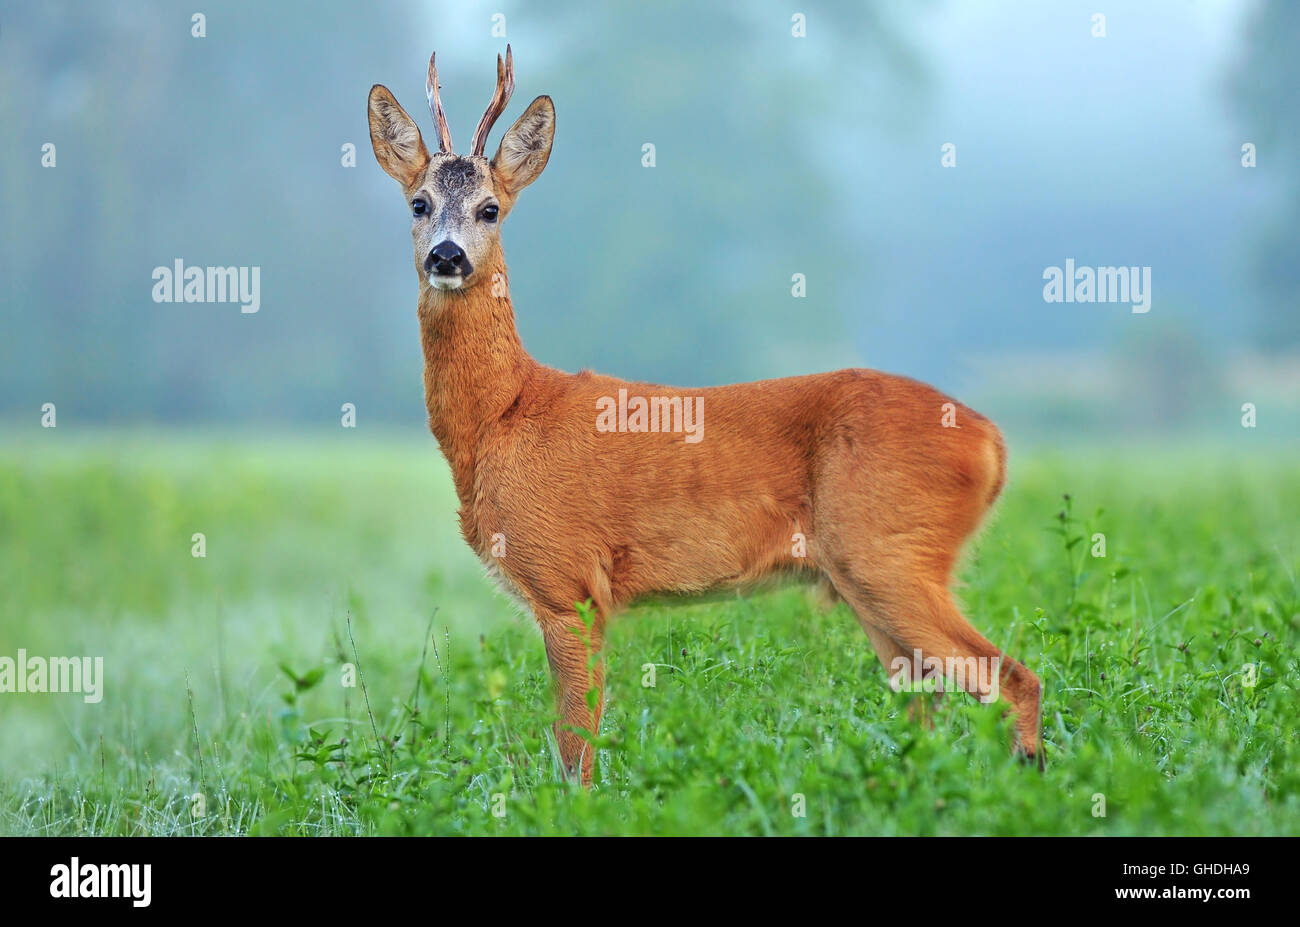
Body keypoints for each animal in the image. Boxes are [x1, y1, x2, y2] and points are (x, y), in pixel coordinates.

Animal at [366, 46, 1043, 786]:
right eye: (419, 203)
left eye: (490, 209)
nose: (447, 256)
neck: (504, 417)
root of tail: (993, 441)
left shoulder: (568, 580)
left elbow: (576, 749)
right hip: (869, 576)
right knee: (930, 702)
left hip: (888, 551)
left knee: (1013, 678)